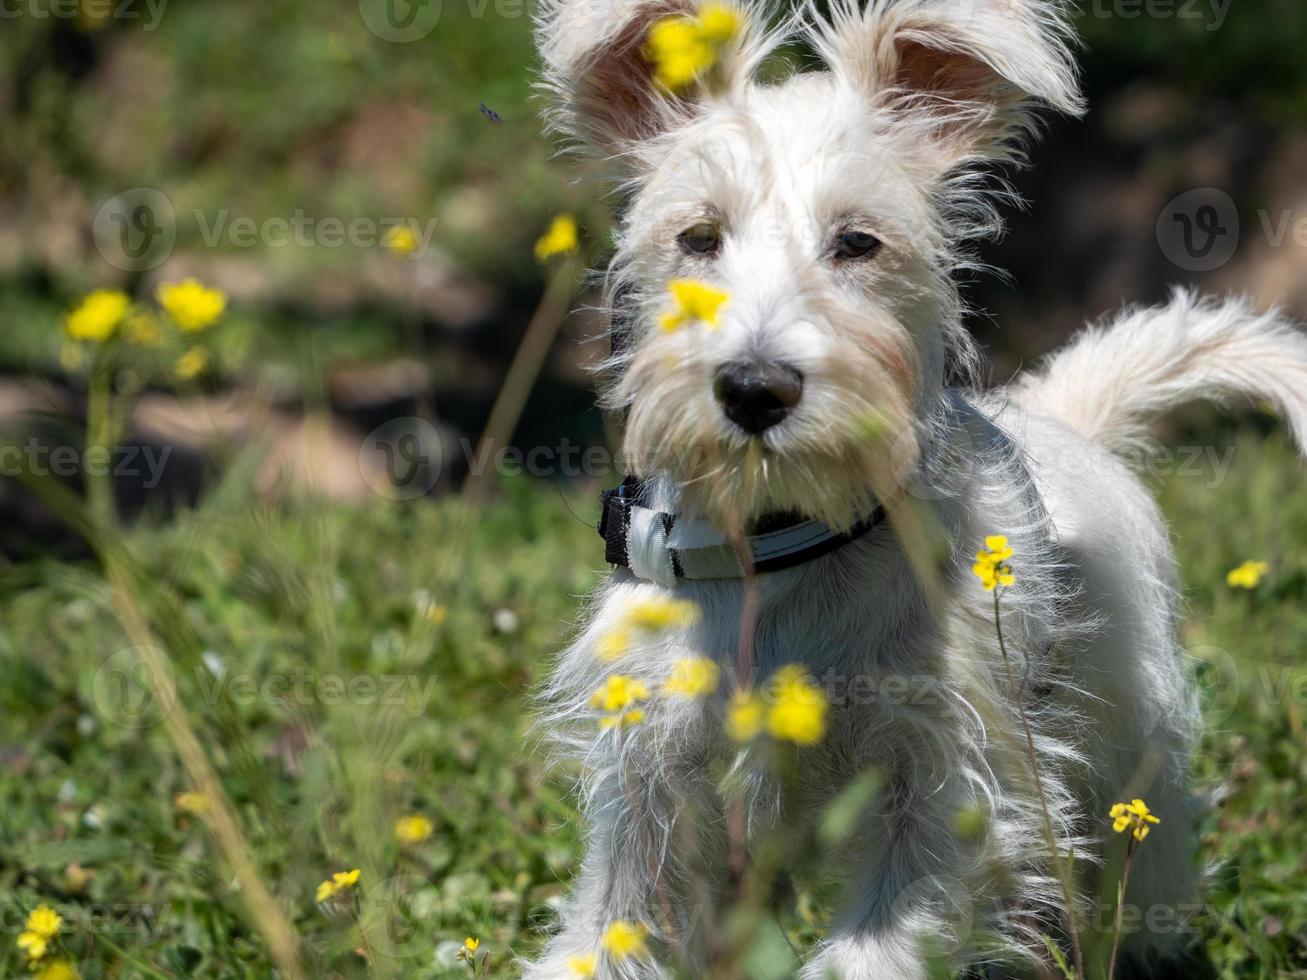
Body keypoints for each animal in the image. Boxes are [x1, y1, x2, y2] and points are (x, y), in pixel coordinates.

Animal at [522, 3, 1307, 977]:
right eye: (698, 238)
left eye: (857, 242)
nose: (753, 388)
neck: (786, 544)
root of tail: (1062, 415)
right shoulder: (649, 780)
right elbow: (611, 923)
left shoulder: (942, 784)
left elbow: (875, 943)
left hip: (1131, 746)